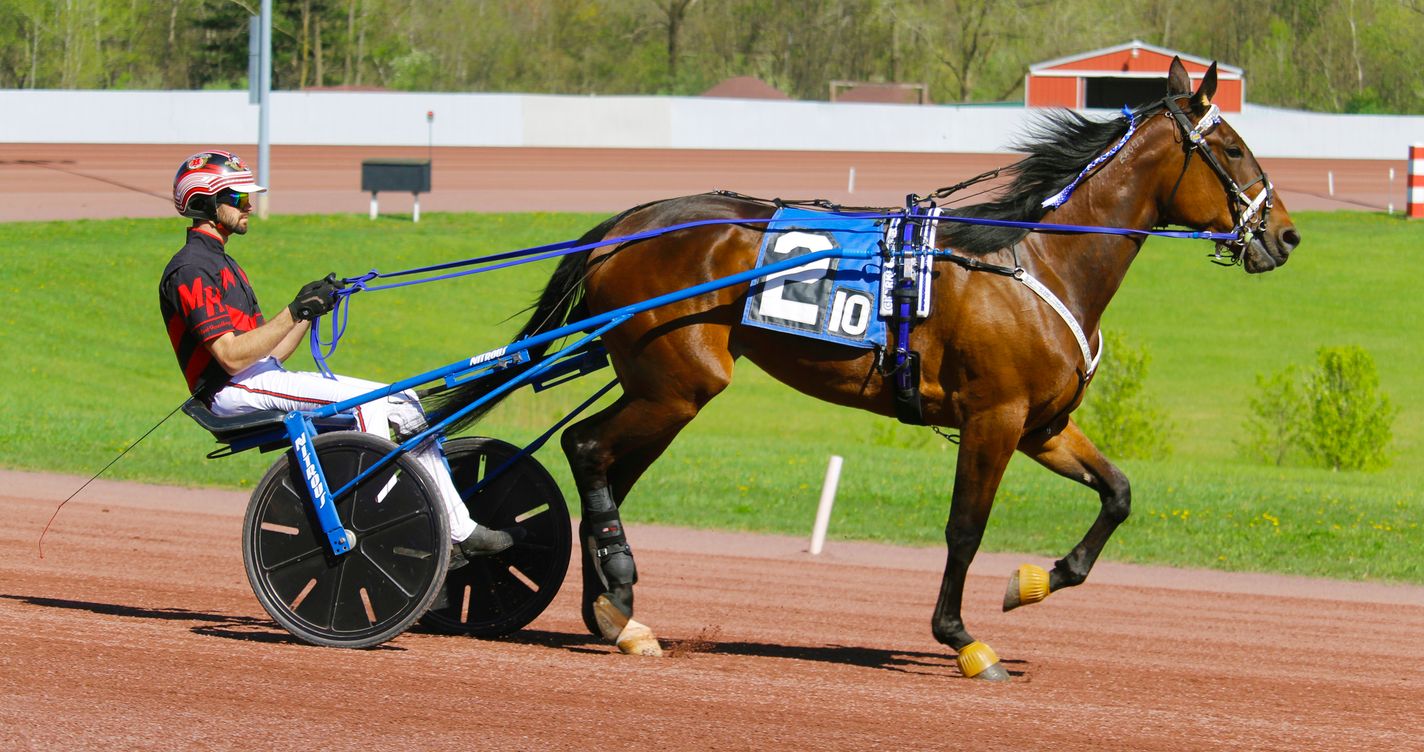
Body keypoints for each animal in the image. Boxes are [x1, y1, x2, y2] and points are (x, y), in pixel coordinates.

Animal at [428, 57, 1300, 680]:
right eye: (1232, 148)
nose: (1286, 236)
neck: (1032, 259)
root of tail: (626, 225)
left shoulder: (1043, 424)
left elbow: (1117, 495)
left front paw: (1035, 581)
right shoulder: (995, 417)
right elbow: (964, 527)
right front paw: (963, 639)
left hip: (663, 386)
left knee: (604, 466)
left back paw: (616, 614)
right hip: (677, 380)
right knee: (586, 450)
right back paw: (614, 593)